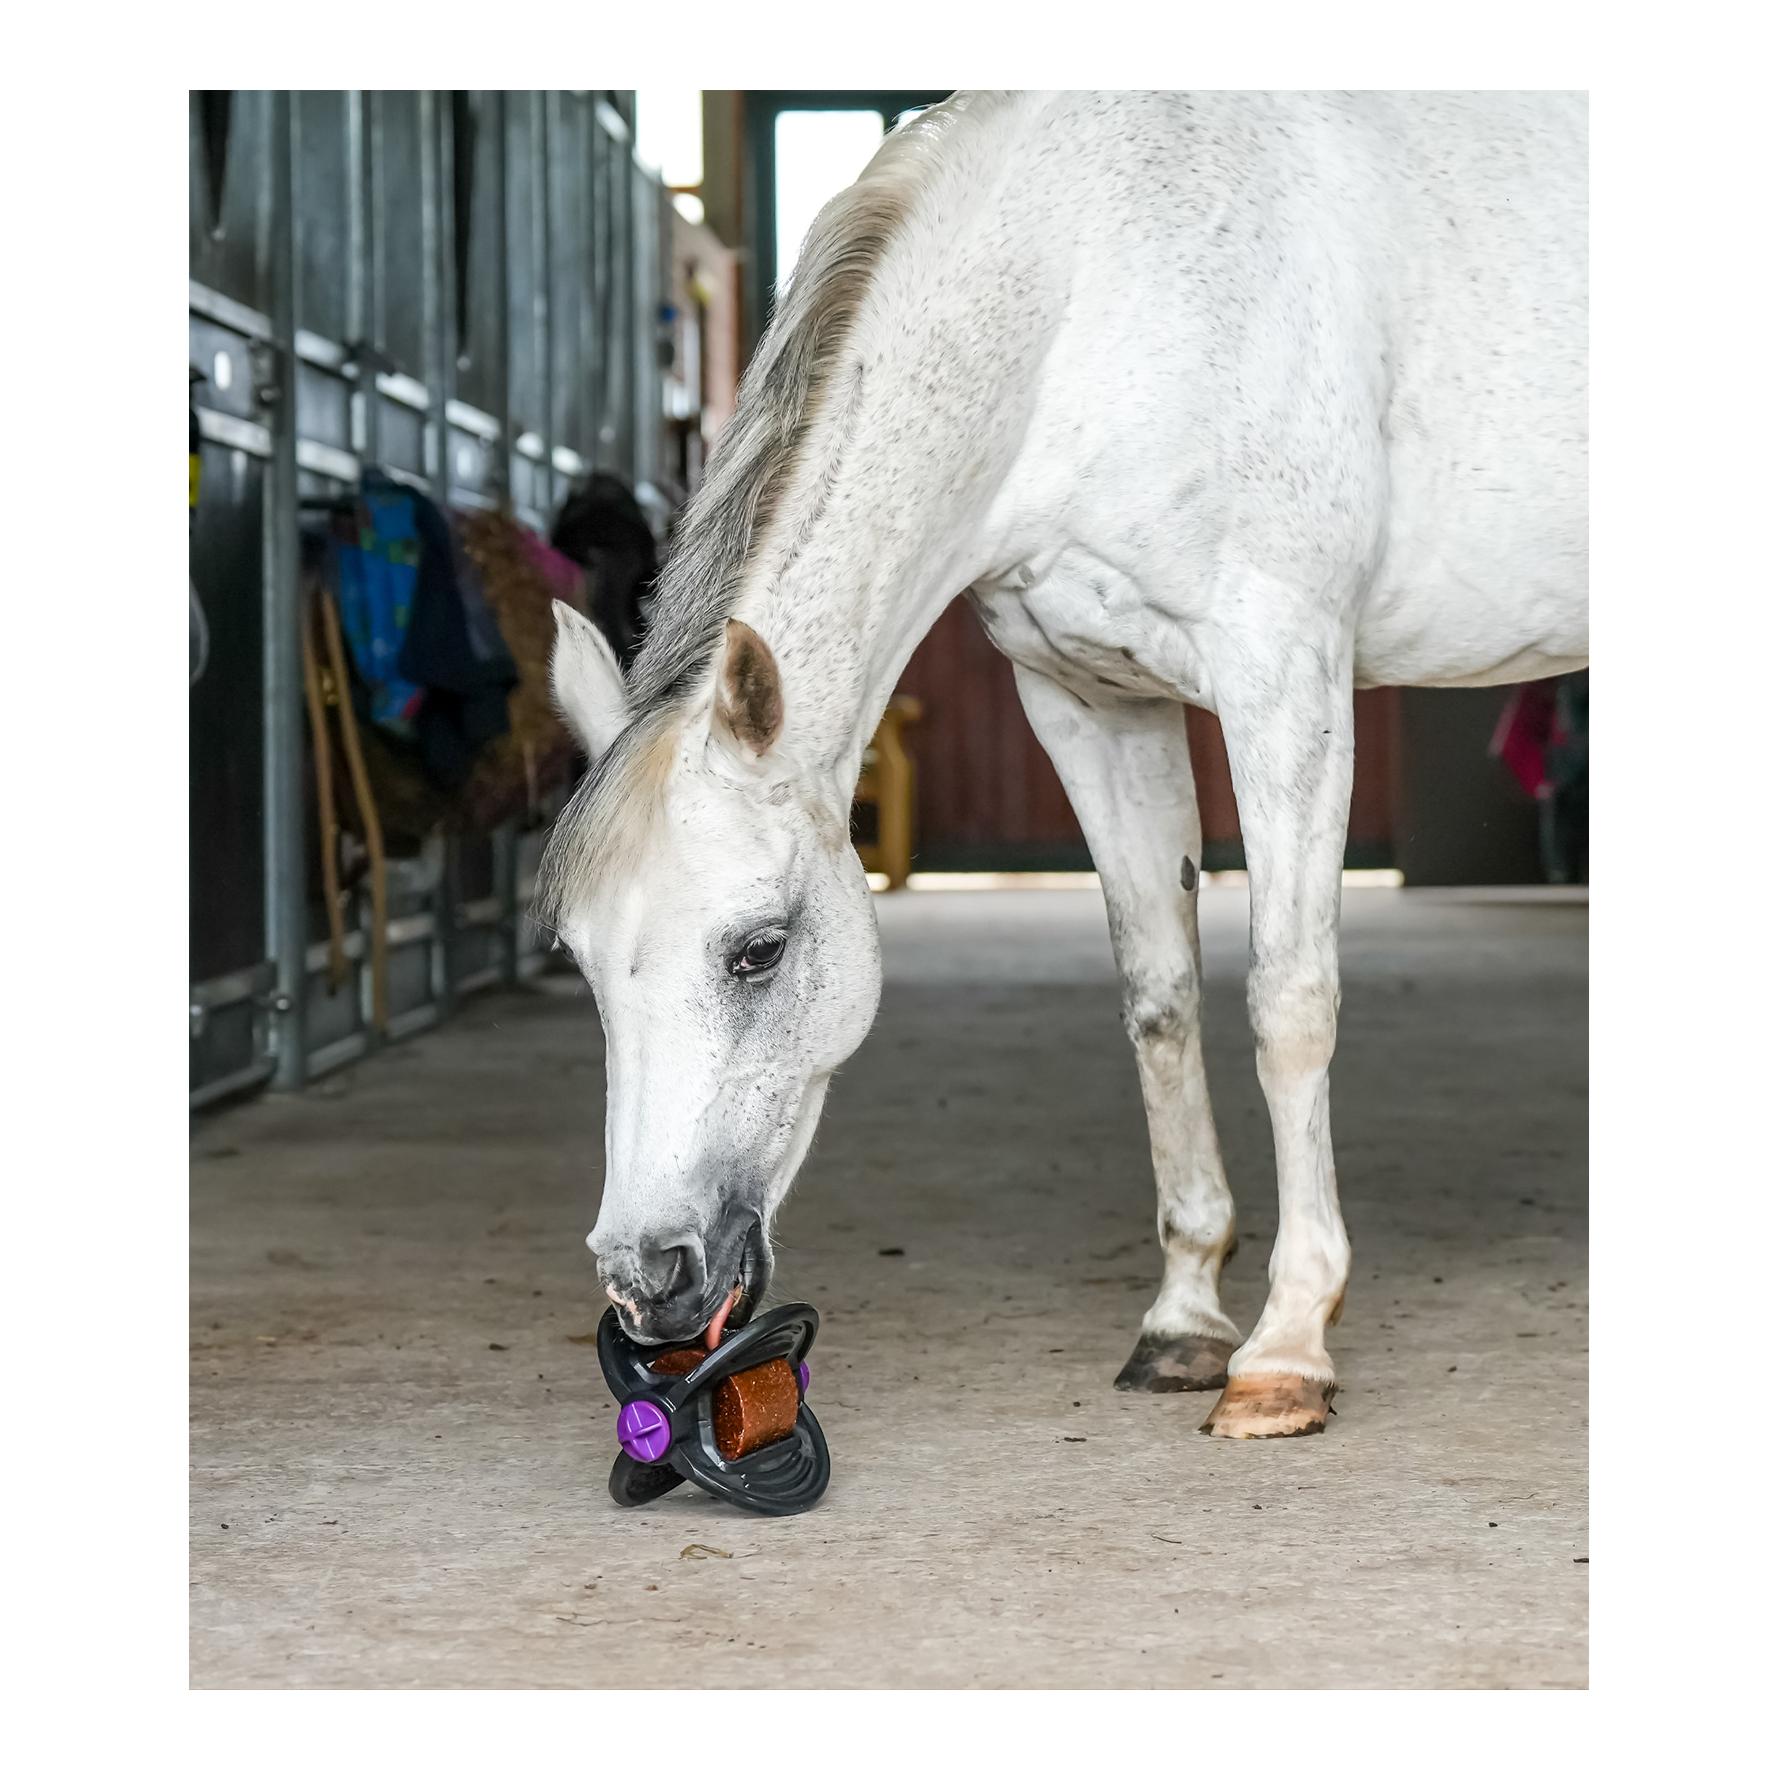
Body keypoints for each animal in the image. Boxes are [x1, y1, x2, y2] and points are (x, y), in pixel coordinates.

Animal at [539, 90, 1587, 1438]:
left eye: (759, 950)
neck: (1095, 289)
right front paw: (1184, 1320)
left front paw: (1287, 1349)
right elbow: (1161, 997)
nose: (648, 1283)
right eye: (577, 961)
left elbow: (1289, 1002)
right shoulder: (1092, 703)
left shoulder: (1284, 677)